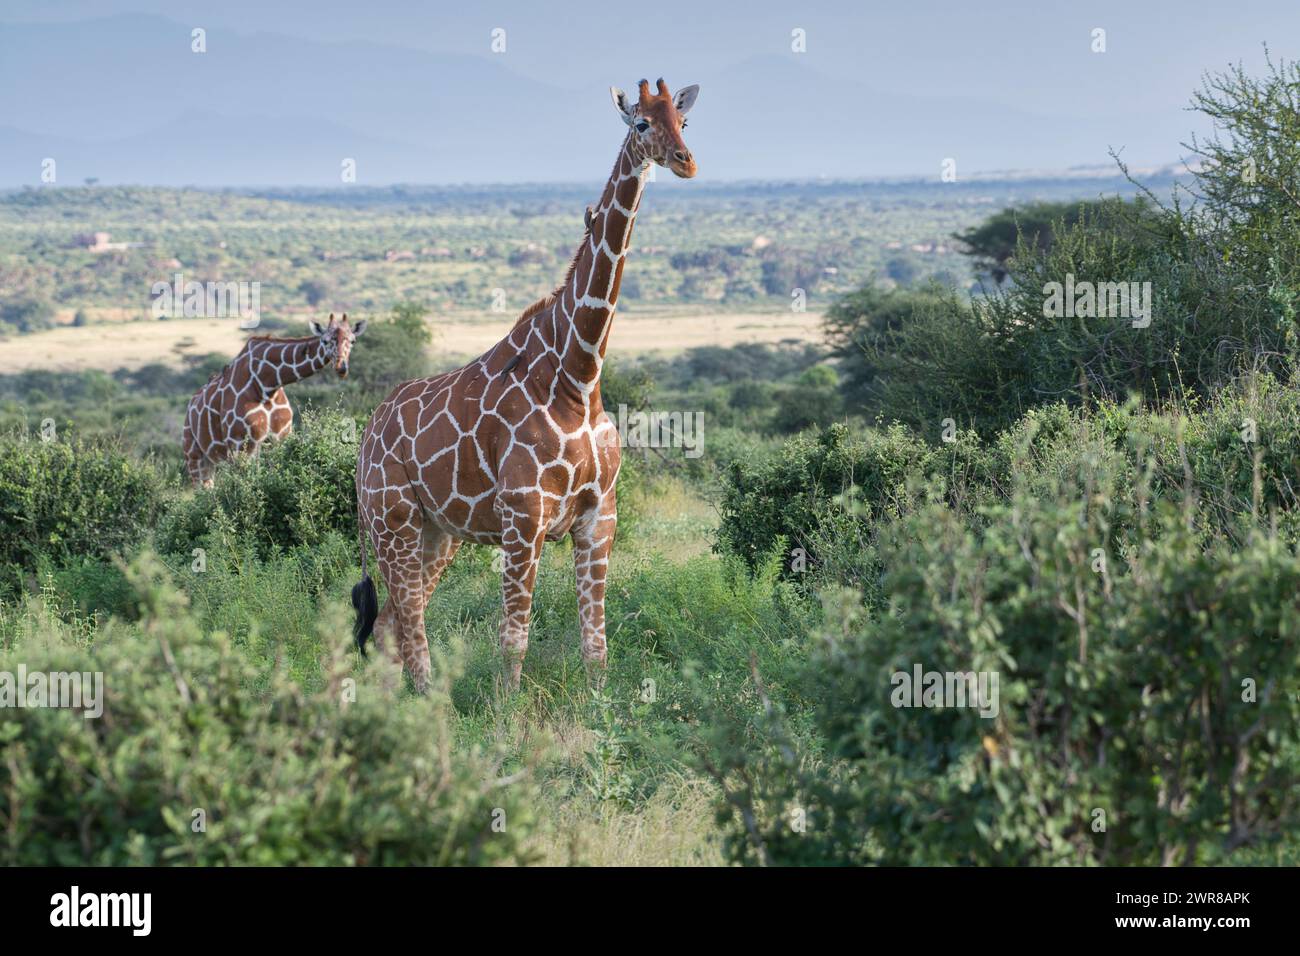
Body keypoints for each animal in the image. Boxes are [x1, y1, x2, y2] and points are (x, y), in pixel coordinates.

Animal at [182, 313, 367, 487]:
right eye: (326, 341)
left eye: (353, 341)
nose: (341, 367)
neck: (267, 384)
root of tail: (190, 406)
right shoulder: (239, 443)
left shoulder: (279, 438)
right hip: (194, 454)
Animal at [353, 78, 700, 693]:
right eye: (642, 123)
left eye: (684, 122)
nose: (686, 161)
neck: (579, 377)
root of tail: (363, 444)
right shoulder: (523, 517)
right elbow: (513, 639)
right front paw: (506, 713)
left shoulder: (599, 518)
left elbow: (597, 646)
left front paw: (600, 710)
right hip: (393, 521)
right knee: (410, 627)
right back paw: (427, 705)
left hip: (437, 533)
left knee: (392, 624)